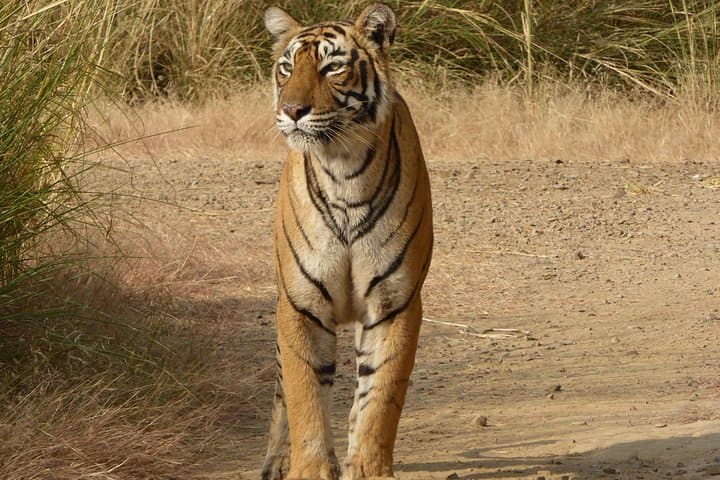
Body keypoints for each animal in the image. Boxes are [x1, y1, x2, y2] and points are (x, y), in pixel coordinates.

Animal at [261, 4, 433, 479]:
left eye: (332, 67)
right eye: (286, 67)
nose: (292, 110)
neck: (344, 172)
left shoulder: (395, 303)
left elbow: (381, 398)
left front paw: (368, 469)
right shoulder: (299, 304)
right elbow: (304, 396)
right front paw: (309, 469)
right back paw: (275, 460)